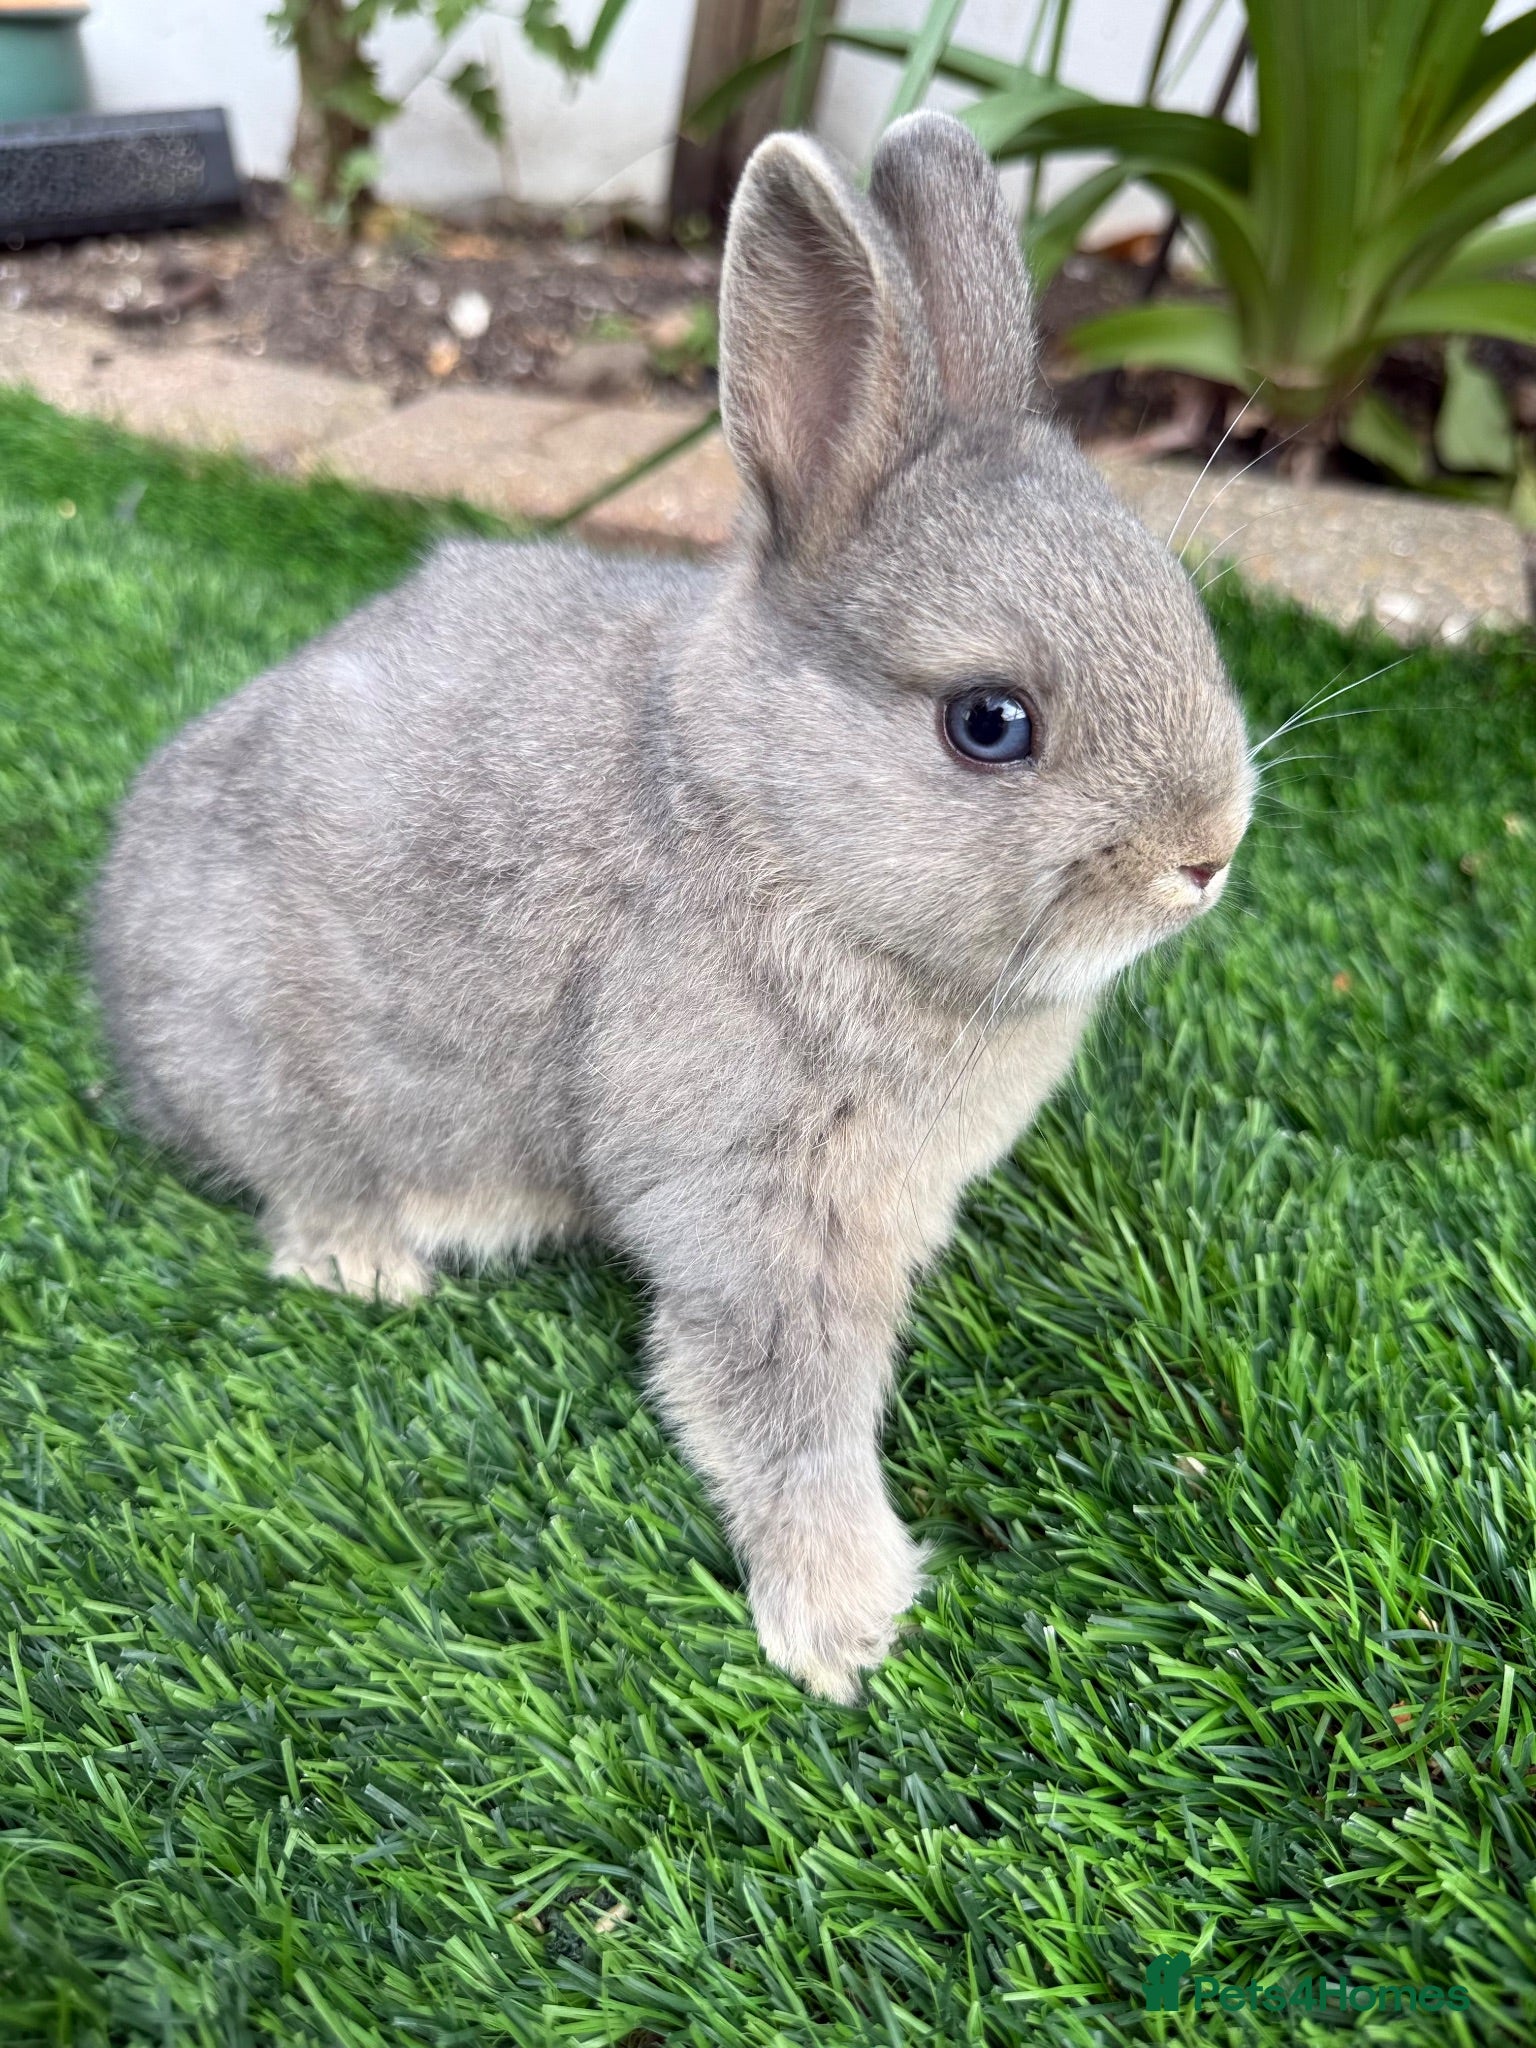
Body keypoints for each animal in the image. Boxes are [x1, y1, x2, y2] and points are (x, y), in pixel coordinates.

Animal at [92, 111, 1253, 1704]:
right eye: (991, 723)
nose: (1209, 851)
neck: (768, 821)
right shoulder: (751, 1208)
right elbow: (775, 1407)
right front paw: (846, 1625)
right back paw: (375, 1260)